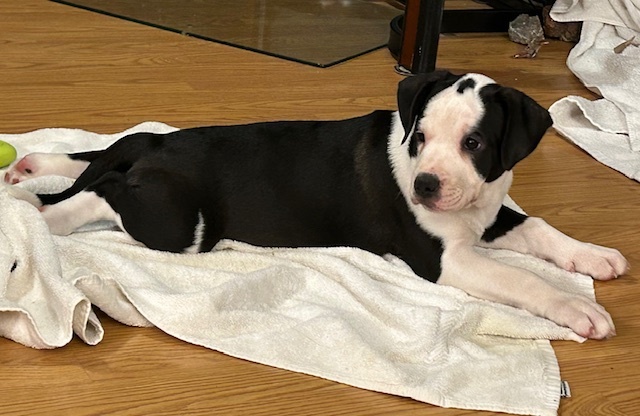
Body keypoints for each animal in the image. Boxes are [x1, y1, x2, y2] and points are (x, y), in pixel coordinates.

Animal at [5, 70, 628, 340]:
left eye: (474, 144)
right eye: (421, 137)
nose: (426, 186)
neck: (473, 203)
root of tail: (157, 145)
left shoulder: (491, 213)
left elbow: (541, 227)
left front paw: (593, 257)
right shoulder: (444, 260)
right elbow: (522, 279)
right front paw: (578, 308)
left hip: (139, 162)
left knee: (96, 157)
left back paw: (32, 168)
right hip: (181, 223)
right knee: (103, 188)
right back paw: (44, 214)